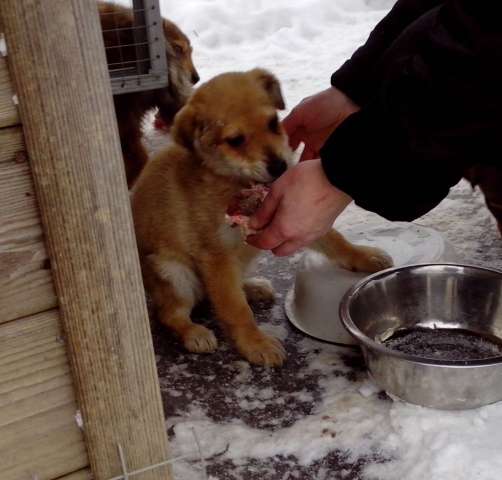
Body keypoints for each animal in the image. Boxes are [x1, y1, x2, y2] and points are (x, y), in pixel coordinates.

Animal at [130, 68, 392, 368]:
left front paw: (364, 256)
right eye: (235, 141)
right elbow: (235, 308)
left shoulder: (292, 211)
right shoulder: (216, 256)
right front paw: (256, 344)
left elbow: (334, 239)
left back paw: (252, 287)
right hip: (173, 273)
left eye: (273, 123)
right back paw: (194, 332)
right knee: (171, 313)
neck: (235, 181)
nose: (280, 166)